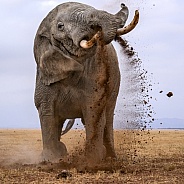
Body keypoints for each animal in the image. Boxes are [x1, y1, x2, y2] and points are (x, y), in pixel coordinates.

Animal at [33, 1, 139, 165]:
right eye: (60, 26)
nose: (98, 31)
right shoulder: (44, 77)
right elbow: (47, 112)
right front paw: (52, 160)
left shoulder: (95, 73)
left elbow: (93, 109)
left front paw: (92, 161)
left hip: (115, 84)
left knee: (108, 116)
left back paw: (110, 157)